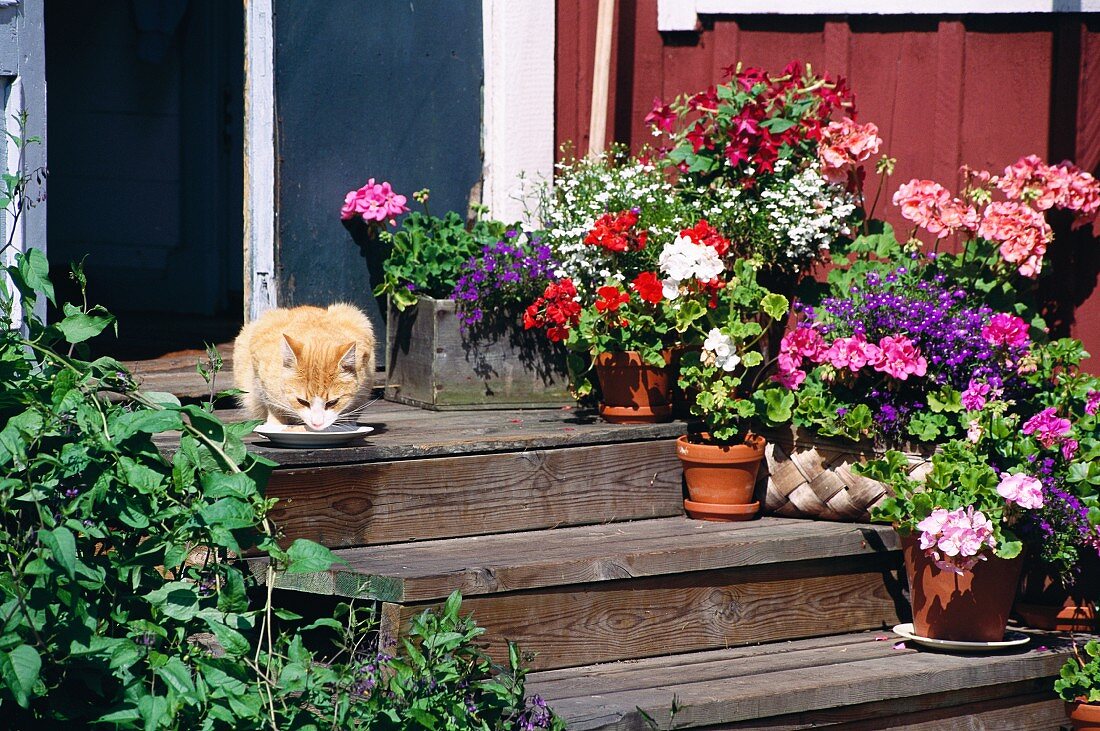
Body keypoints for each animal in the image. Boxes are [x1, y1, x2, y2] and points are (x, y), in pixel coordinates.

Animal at [231, 301, 374, 428]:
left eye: (333, 402)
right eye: (302, 402)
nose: (317, 424)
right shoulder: (263, 381)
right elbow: (273, 407)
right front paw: (275, 424)